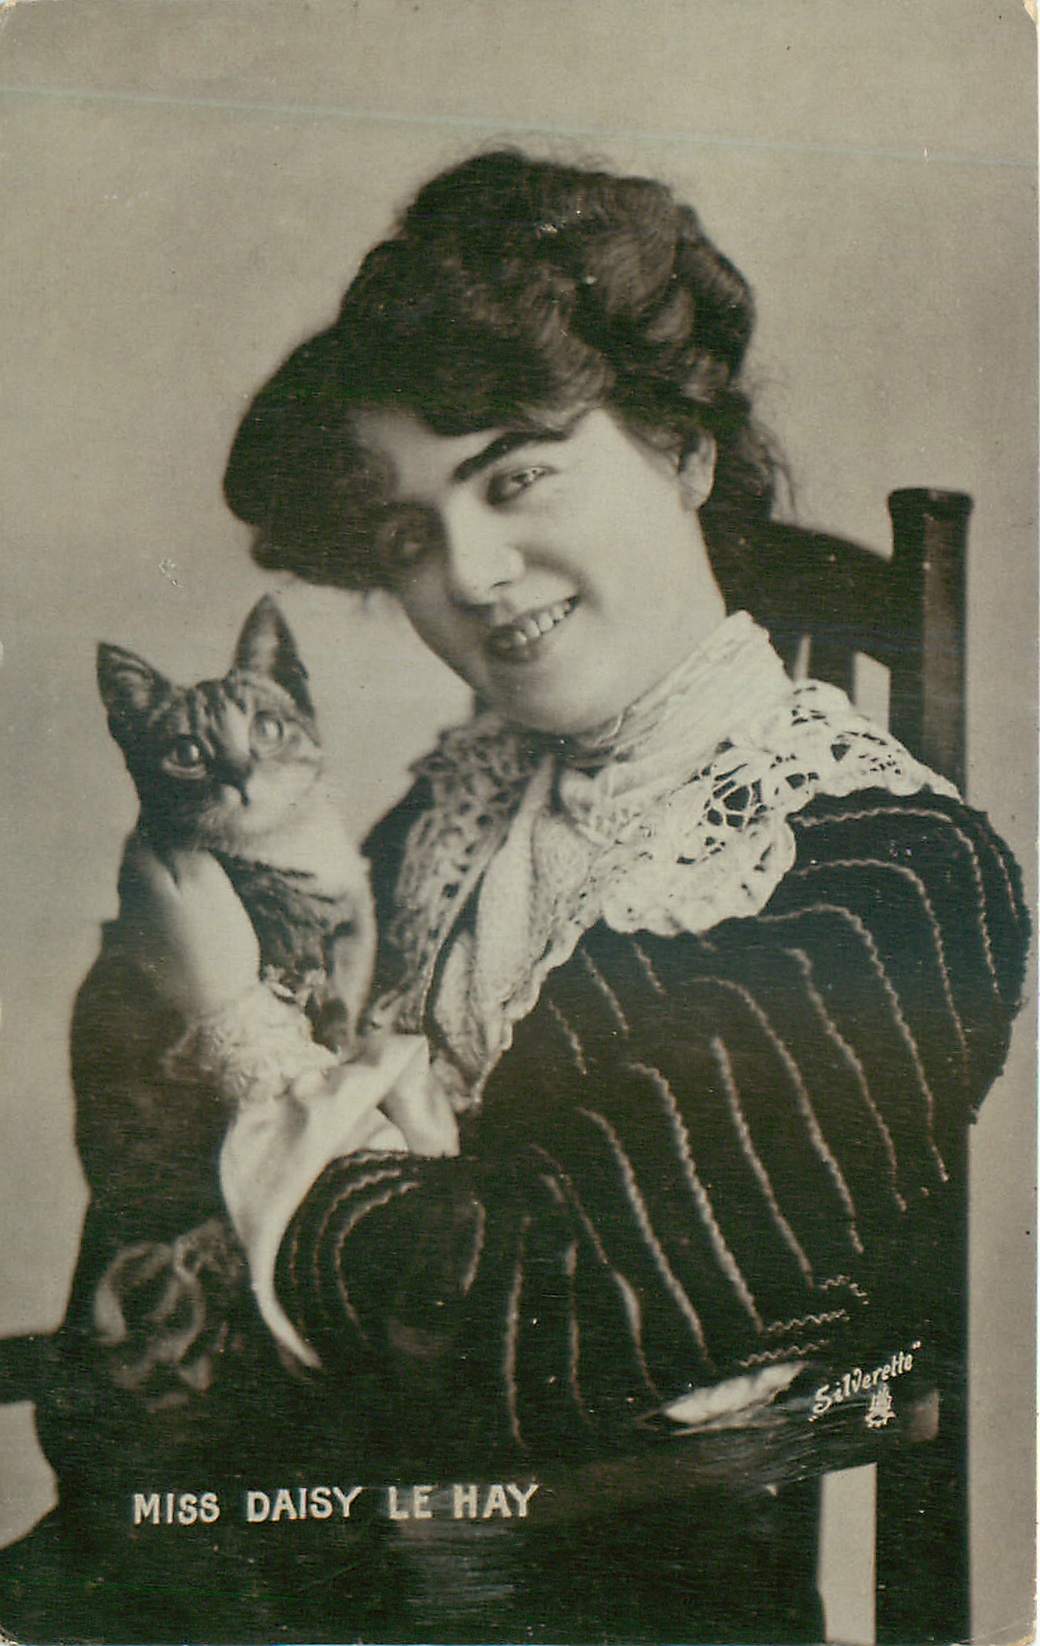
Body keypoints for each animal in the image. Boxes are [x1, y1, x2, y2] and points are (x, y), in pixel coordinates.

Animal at [70, 597, 376, 1400]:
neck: (286, 846)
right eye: (187, 751)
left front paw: (348, 1034)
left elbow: (346, 992)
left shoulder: (355, 926)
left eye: (265, 729)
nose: (238, 774)